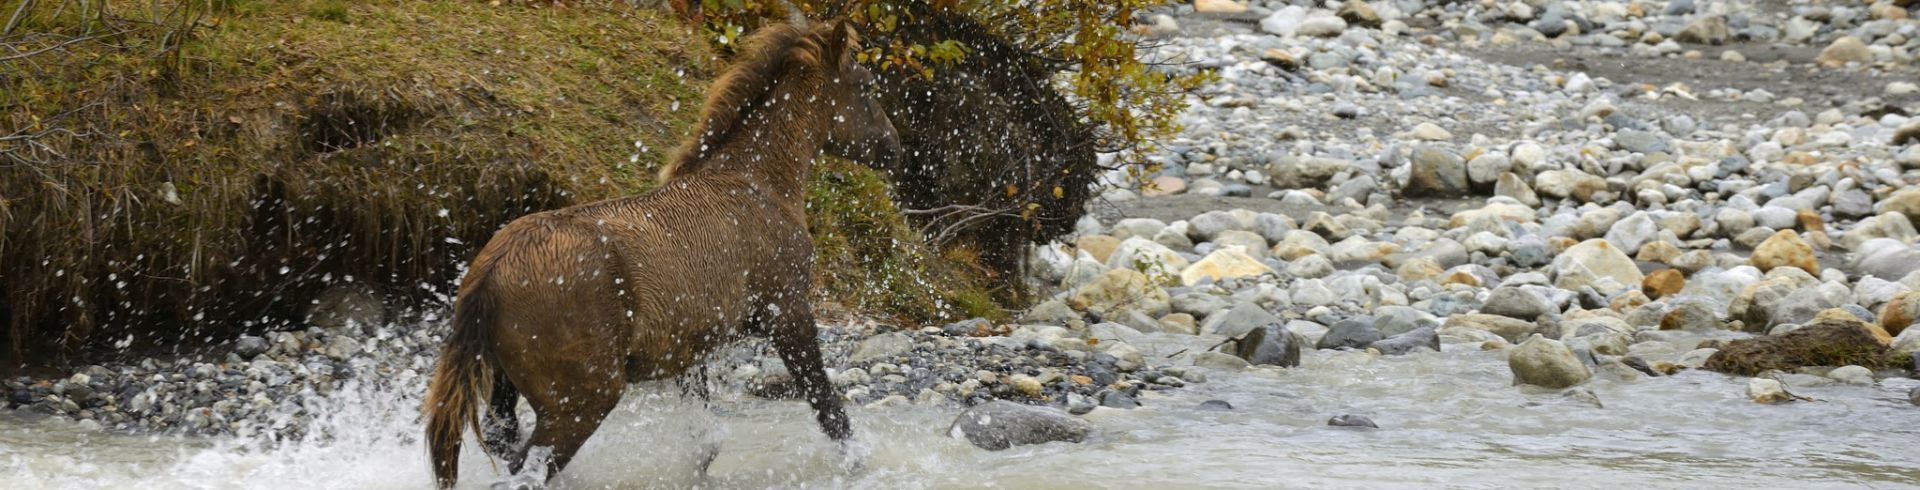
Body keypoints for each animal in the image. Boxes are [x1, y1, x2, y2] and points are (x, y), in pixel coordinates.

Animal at [424, 21, 902, 488]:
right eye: (865, 85)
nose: (893, 146)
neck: (759, 183)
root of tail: (490, 273)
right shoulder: (787, 312)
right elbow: (827, 404)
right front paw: (860, 462)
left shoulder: (689, 347)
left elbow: (705, 437)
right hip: (581, 399)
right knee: (528, 465)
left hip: (506, 389)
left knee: (504, 441)